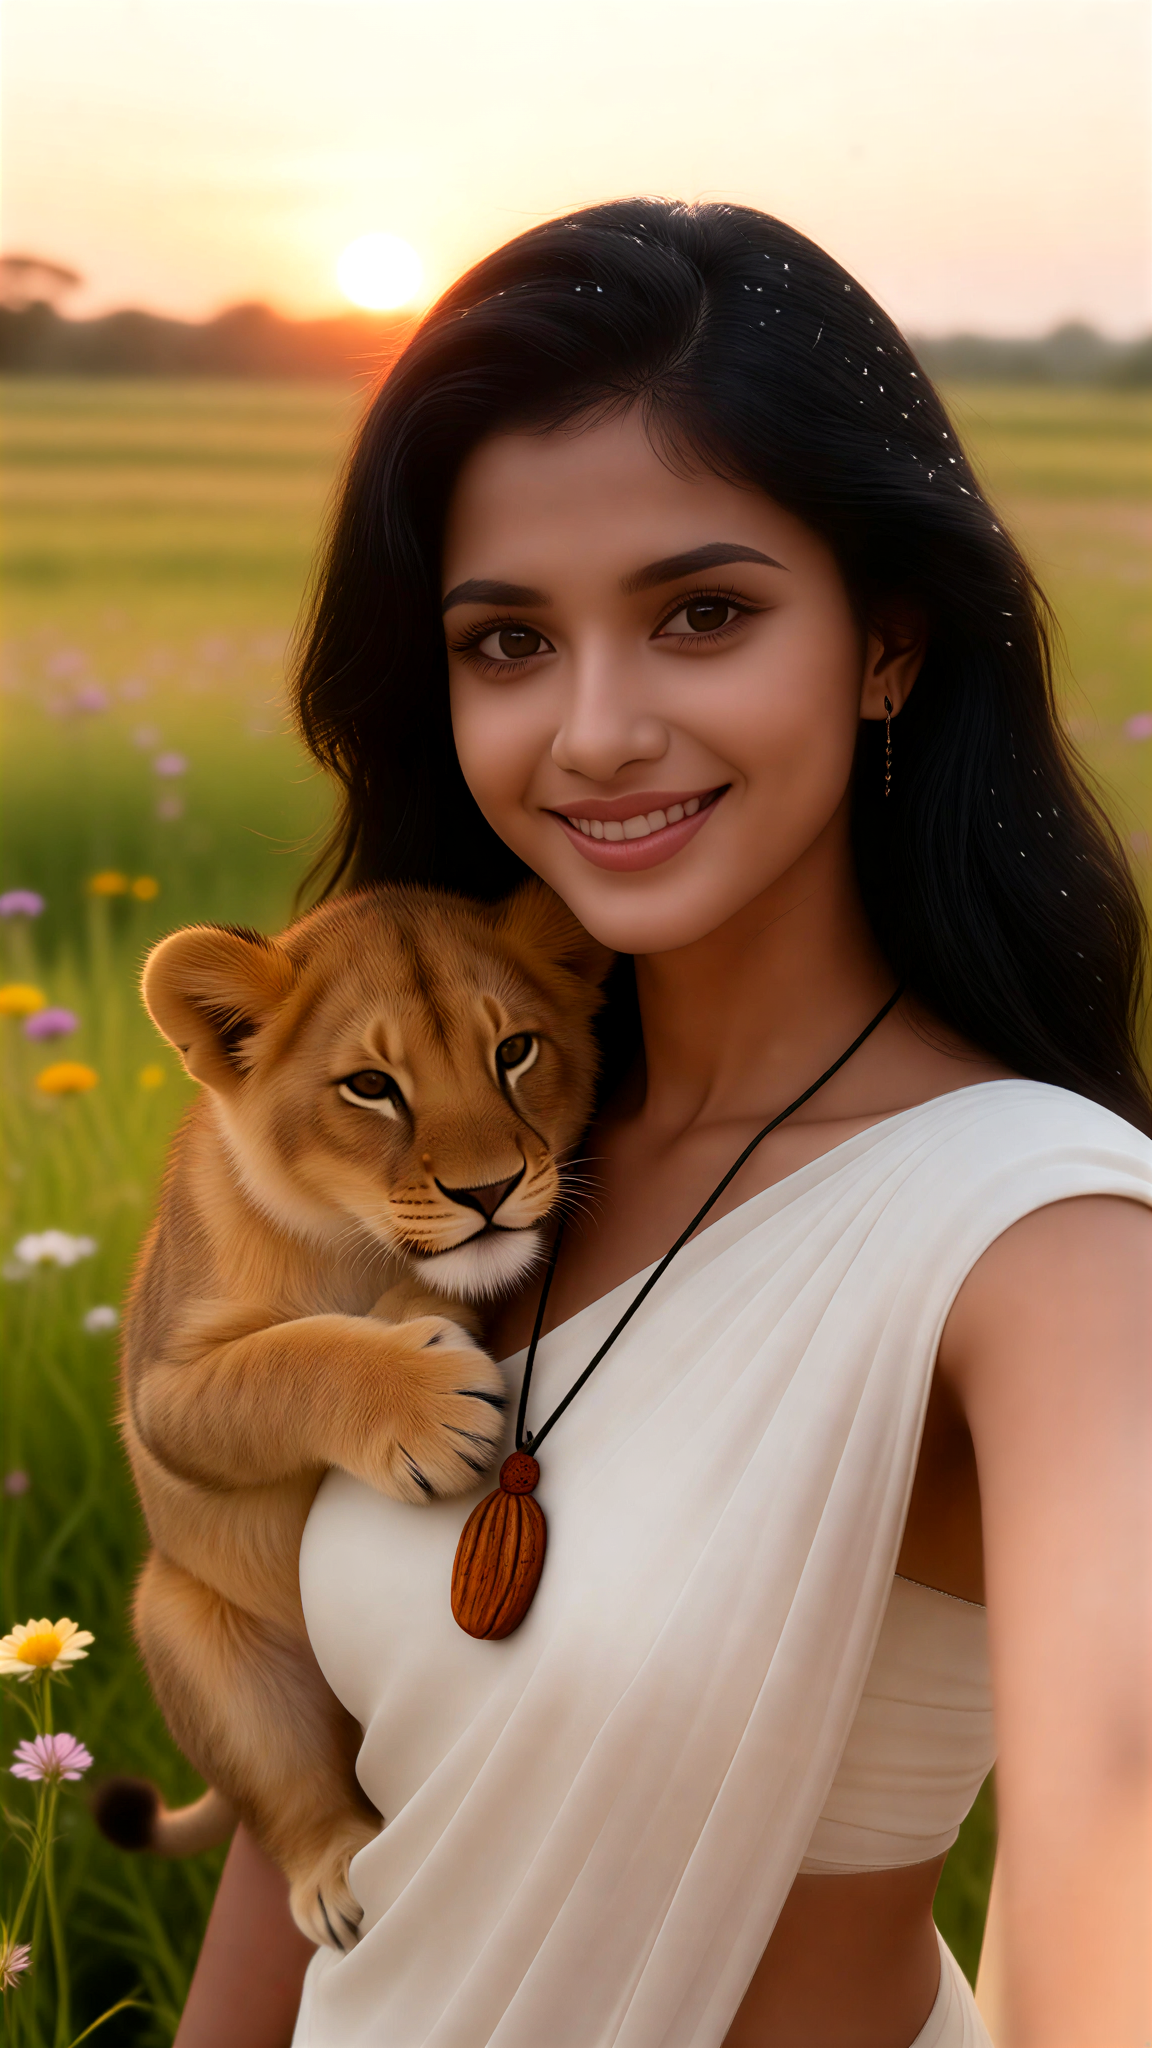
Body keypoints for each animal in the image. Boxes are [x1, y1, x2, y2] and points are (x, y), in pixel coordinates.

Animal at [94, 881, 608, 1950]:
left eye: (515, 1051)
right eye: (371, 1087)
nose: (490, 1192)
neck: (350, 1242)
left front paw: (422, 1315)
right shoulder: (161, 1387)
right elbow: (287, 1360)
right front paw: (429, 1406)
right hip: (190, 1630)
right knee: (290, 1793)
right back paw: (335, 1880)